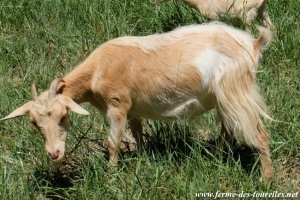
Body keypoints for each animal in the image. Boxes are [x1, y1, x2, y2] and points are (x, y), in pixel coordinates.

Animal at [2, 21, 274, 180]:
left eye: (63, 117)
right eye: (34, 124)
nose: (54, 154)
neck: (97, 70)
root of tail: (252, 44)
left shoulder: (117, 105)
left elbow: (113, 143)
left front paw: (111, 177)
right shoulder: (132, 109)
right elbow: (138, 134)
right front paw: (143, 159)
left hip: (235, 91)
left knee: (259, 134)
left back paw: (265, 178)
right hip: (223, 99)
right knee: (227, 130)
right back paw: (217, 158)